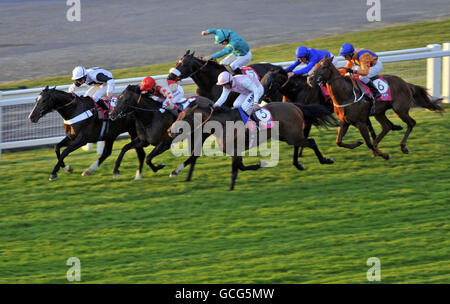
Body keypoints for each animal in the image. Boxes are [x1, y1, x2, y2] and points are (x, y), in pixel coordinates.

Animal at [168, 98, 334, 190]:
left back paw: (326, 160)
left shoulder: (235, 150)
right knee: (299, 144)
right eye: (179, 114)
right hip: (286, 136)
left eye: (186, 116)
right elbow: (240, 167)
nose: (170, 131)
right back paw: (298, 165)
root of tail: (295, 106)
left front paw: (231, 189)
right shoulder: (236, 152)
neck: (223, 124)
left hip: (291, 135)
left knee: (310, 142)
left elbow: (235, 170)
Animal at [310, 55, 442, 159]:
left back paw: (403, 147)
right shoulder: (345, 122)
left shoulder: (361, 122)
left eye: (323, 67)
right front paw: (358, 143)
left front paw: (384, 155)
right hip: (379, 112)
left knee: (411, 123)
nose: (310, 79)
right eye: (315, 67)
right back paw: (379, 146)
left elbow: (368, 143)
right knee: (387, 127)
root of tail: (405, 83)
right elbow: (339, 141)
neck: (347, 95)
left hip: (400, 110)